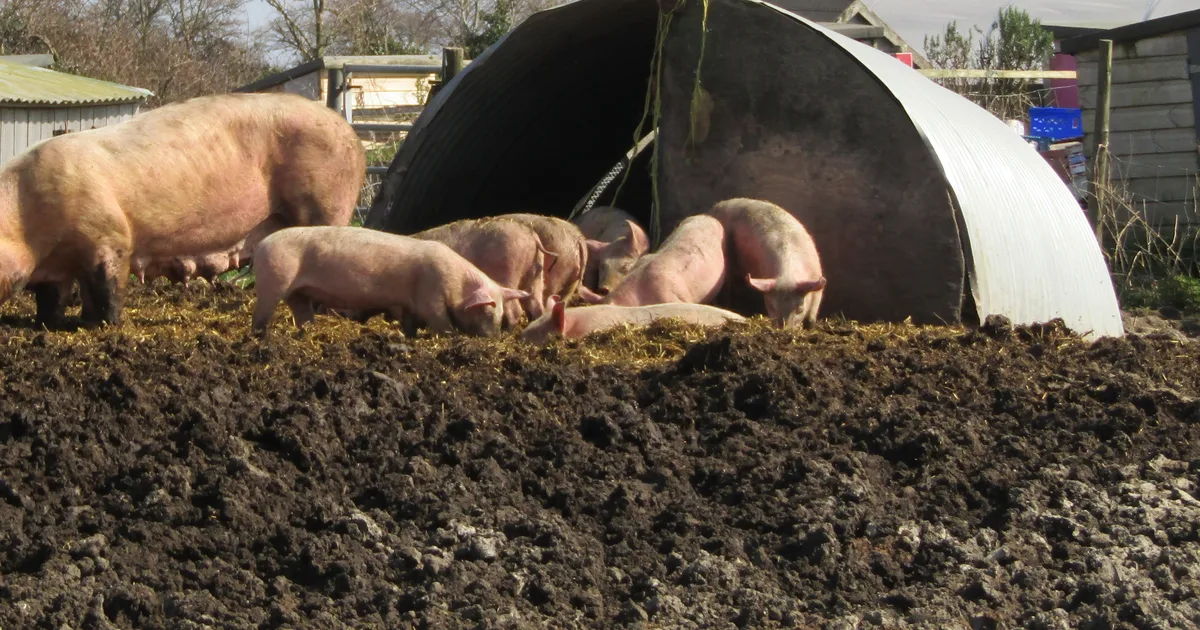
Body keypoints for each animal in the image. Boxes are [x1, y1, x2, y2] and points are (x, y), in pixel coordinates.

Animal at [0, 91, 365, 328]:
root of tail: (351, 136)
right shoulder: (59, 268)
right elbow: (55, 299)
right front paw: (57, 324)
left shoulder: (109, 239)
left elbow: (108, 290)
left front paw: (106, 328)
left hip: (324, 203)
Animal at [250, 226, 530, 338]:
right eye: (487, 312)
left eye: (500, 314)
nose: (493, 340)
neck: (457, 284)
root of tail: (261, 245)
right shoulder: (430, 295)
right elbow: (441, 321)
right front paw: (451, 337)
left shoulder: (408, 303)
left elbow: (409, 323)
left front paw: (408, 337)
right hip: (274, 280)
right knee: (262, 313)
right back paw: (260, 336)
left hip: (299, 292)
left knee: (301, 311)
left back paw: (308, 332)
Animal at [706, 198, 826, 328]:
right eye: (772, 307)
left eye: (799, 309)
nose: (783, 329)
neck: (788, 276)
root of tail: (716, 206)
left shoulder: (817, 284)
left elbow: (811, 317)